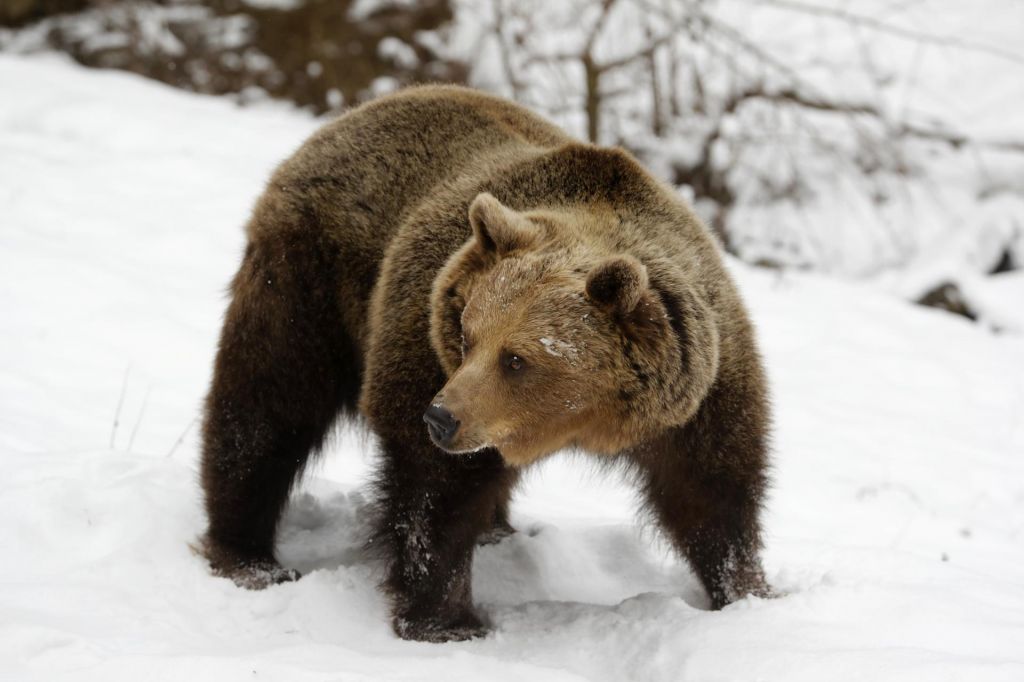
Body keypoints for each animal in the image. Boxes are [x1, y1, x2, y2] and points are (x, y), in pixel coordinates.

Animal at [197, 83, 770, 638]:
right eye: (468, 335)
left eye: (516, 359)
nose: (440, 416)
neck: (586, 423)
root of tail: (347, 119)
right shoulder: (424, 348)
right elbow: (434, 493)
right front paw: (447, 620)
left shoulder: (700, 393)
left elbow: (713, 495)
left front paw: (748, 593)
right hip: (308, 282)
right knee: (267, 405)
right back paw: (250, 557)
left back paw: (497, 529)